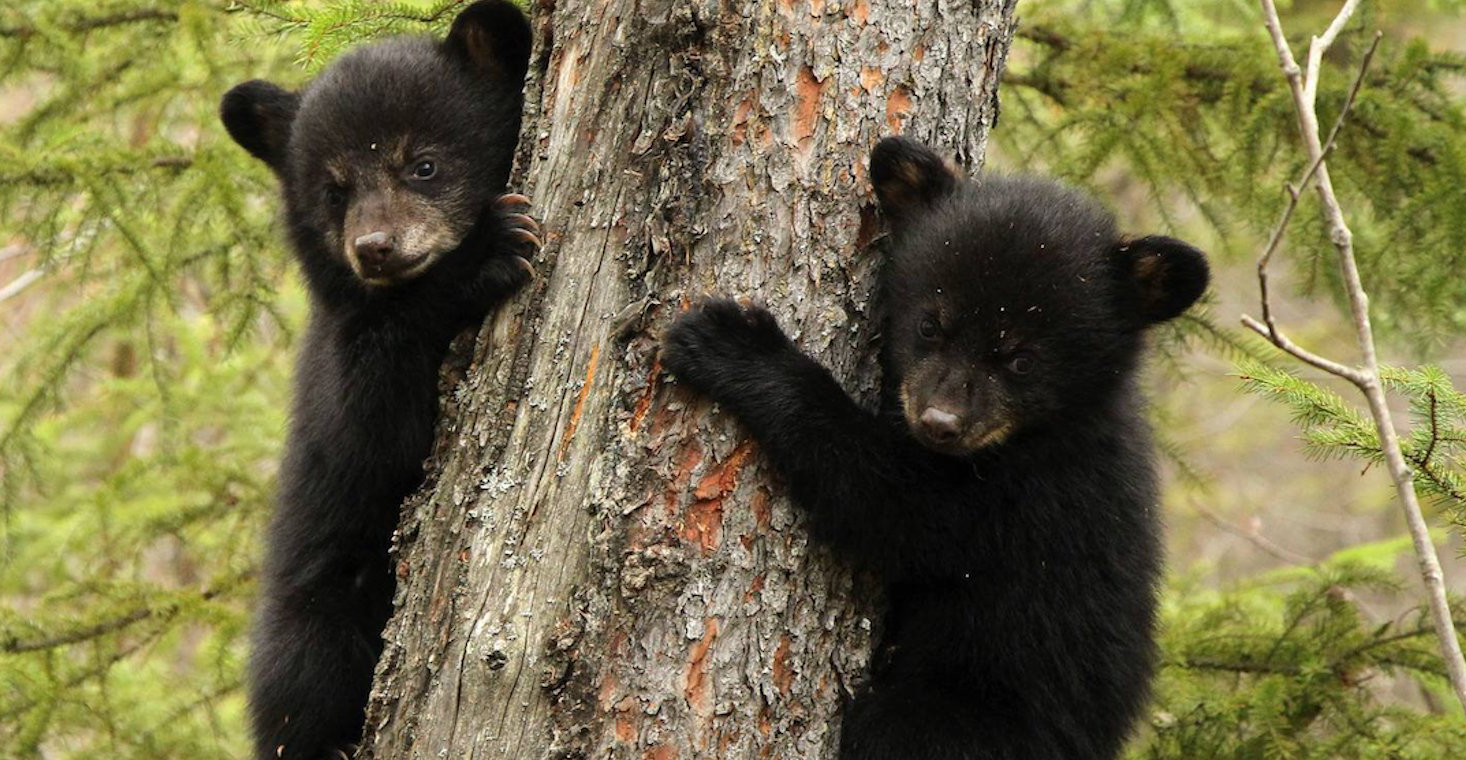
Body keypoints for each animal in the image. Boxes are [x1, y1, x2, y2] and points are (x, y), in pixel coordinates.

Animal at [218, 2, 534, 757]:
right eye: (334, 191)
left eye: (423, 164)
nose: (376, 249)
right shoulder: (339, 355)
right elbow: (376, 430)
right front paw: (487, 250)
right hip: (317, 602)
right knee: (302, 676)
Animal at [660, 136, 1209, 760]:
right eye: (930, 325)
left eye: (1022, 360)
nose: (940, 423)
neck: (1044, 432)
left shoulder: (1027, 498)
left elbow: (891, 505)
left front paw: (734, 346)